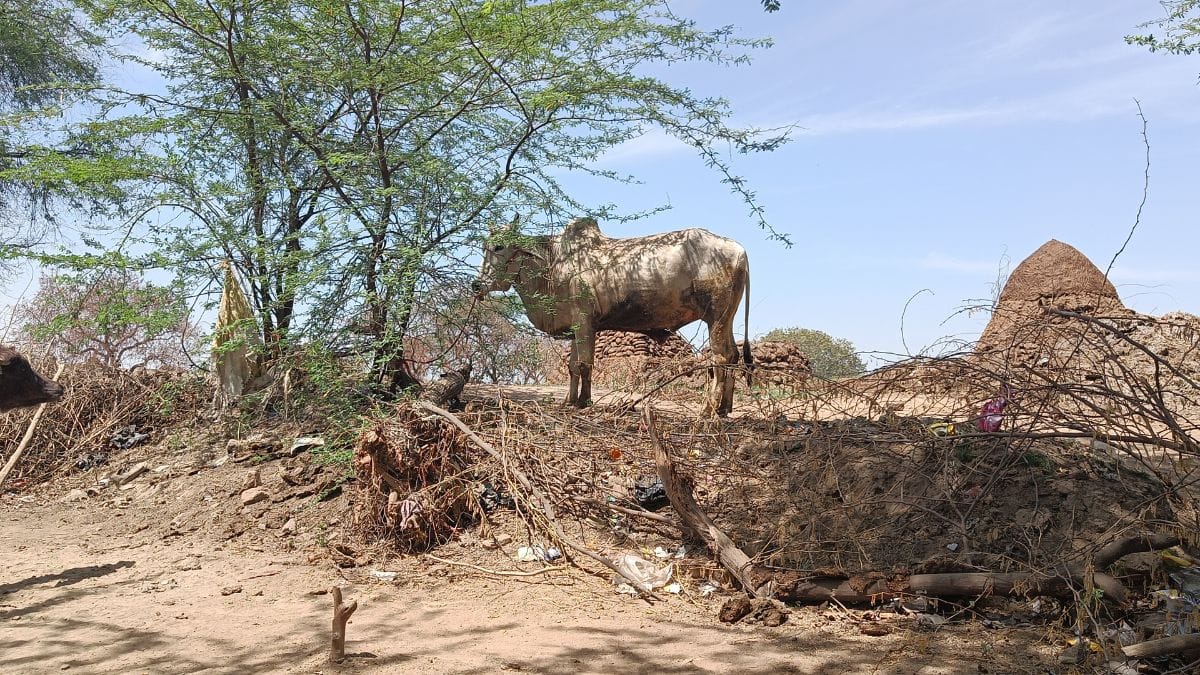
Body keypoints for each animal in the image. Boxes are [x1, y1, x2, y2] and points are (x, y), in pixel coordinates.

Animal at [474, 217, 751, 416]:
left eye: (499, 247)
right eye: (484, 247)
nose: (477, 285)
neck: (552, 264)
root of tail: (739, 250)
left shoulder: (585, 322)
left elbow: (584, 364)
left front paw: (584, 401)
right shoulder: (575, 328)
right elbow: (572, 366)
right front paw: (569, 401)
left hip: (716, 317)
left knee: (720, 359)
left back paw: (708, 410)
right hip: (725, 319)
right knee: (733, 356)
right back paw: (724, 408)